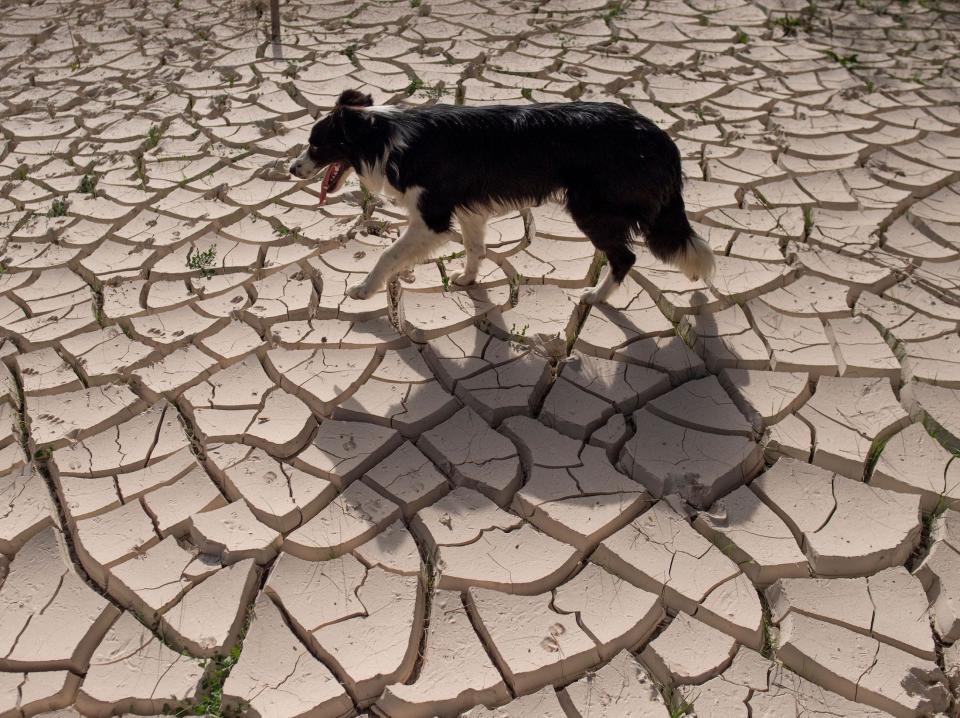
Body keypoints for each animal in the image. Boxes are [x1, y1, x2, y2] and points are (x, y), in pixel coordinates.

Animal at [290, 89, 712, 304]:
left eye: (316, 145)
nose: (291, 170)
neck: (384, 139)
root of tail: (659, 137)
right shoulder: (469, 211)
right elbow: (475, 248)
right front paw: (467, 279)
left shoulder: (432, 217)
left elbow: (388, 254)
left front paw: (364, 288)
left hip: (591, 210)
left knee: (626, 256)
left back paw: (596, 295)